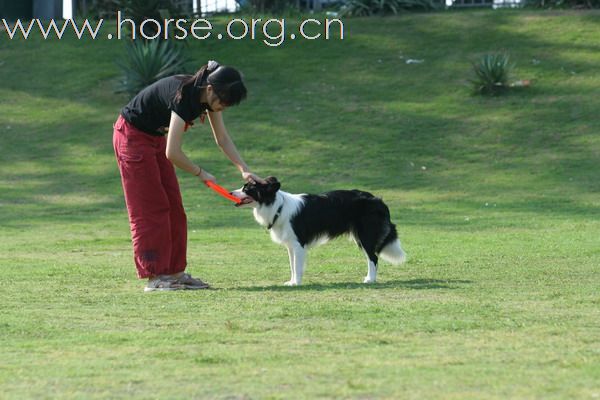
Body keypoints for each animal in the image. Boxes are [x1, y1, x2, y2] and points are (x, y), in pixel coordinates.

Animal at [232, 177, 406, 284]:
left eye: (247, 188)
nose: (231, 192)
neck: (277, 206)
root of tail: (378, 200)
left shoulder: (298, 243)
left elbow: (297, 266)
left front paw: (297, 283)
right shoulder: (291, 245)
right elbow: (292, 265)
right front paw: (292, 281)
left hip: (365, 235)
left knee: (373, 257)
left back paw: (370, 279)